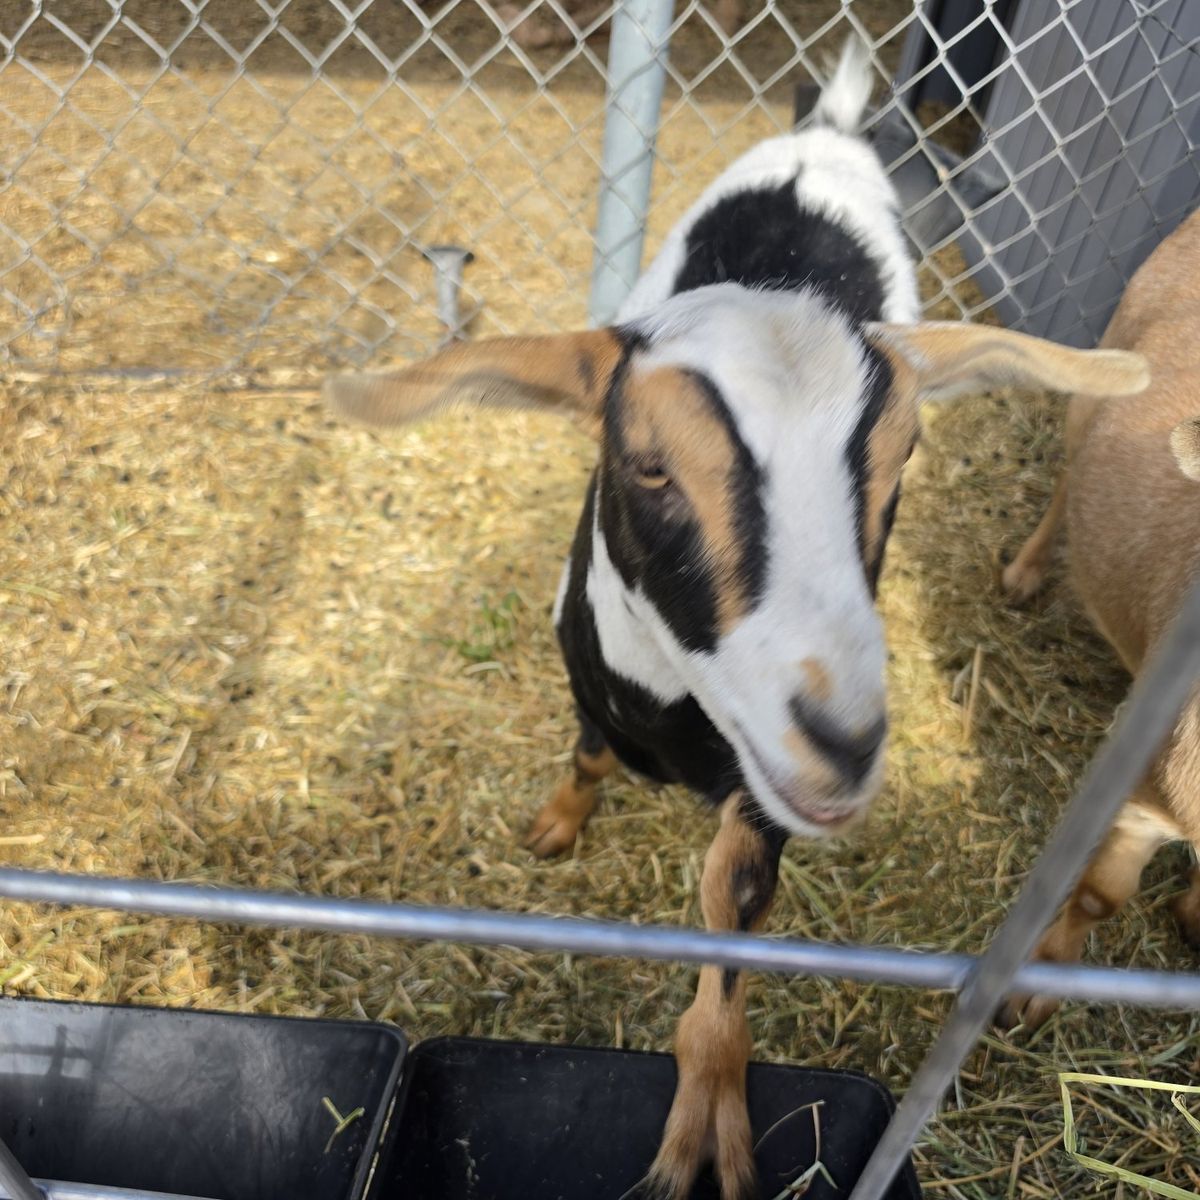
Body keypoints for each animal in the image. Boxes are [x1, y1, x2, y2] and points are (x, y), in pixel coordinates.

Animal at [327, 38, 1148, 1200]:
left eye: (902, 461)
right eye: (648, 466)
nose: (844, 745)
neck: (673, 707)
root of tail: (827, 136)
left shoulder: (758, 801)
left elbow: (734, 922)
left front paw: (703, 1133)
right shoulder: (590, 677)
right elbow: (587, 753)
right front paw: (555, 825)